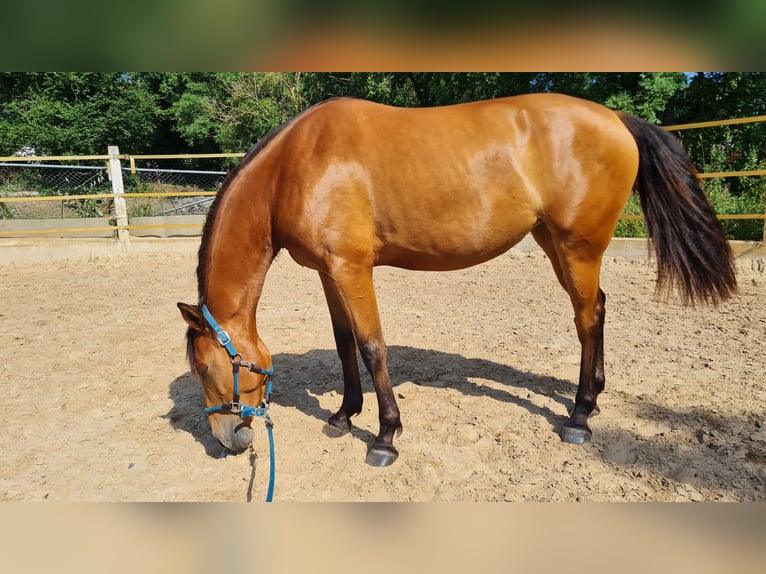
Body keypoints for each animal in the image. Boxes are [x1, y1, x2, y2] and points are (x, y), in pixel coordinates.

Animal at [178, 93, 736, 468]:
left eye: (205, 369)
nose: (228, 440)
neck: (296, 165)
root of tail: (615, 118)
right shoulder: (327, 271)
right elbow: (344, 342)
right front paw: (343, 416)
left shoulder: (352, 268)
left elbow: (373, 346)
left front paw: (385, 437)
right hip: (555, 243)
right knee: (597, 307)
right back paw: (592, 399)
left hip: (577, 247)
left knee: (586, 317)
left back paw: (578, 418)